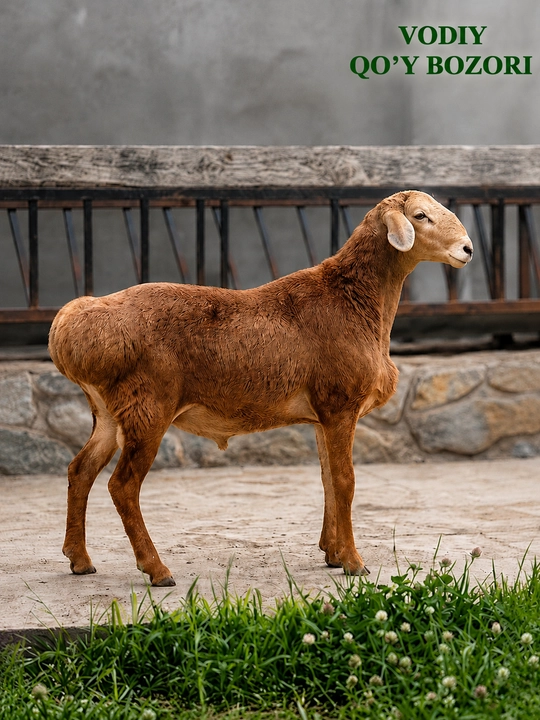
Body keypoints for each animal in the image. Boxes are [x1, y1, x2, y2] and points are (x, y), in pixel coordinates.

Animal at [48, 190, 473, 586]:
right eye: (420, 215)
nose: (467, 248)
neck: (354, 301)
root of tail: (71, 327)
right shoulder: (340, 404)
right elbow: (345, 481)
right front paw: (354, 563)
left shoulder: (322, 415)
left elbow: (327, 480)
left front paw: (332, 553)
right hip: (147, 407)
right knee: (122, 486)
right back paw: (156, 569)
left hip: (108, 410)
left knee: (80, 470)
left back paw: (80, 559)